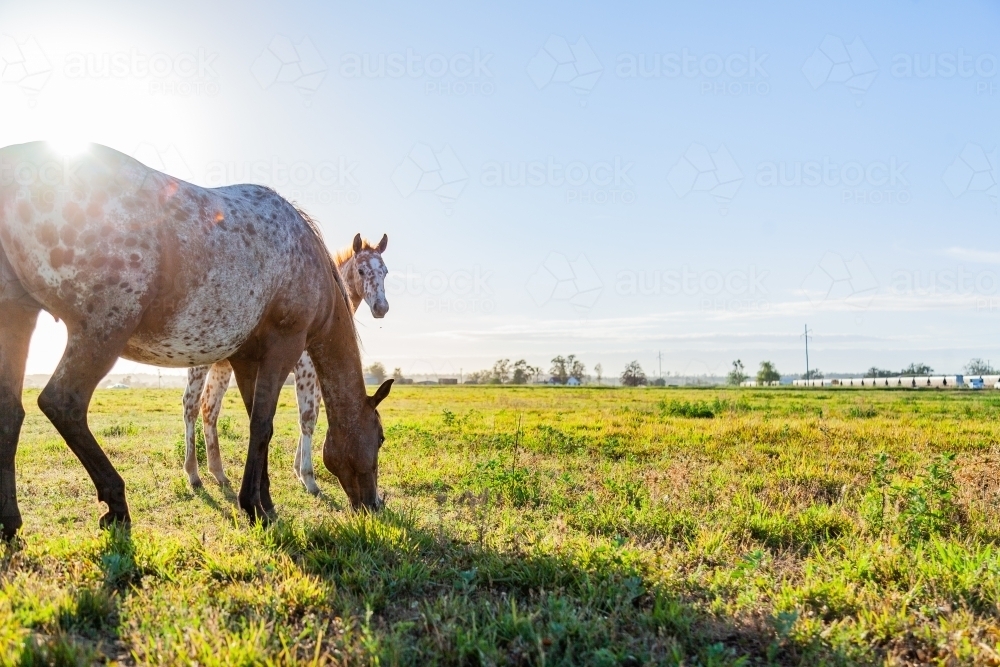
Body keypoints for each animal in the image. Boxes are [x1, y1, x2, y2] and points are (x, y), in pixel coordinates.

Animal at [182, 232, 388, 494]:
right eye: (361, 270)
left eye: (385, 271)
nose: (381, 308)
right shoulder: (305, 370)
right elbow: (307, 417)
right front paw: (309, 478)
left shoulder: (317, 375)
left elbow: (314, 415)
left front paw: (298, 470)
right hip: (199, 364)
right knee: (191, 405)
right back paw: (193, 474)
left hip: (222, 366)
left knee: (210, 408)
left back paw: (219, 473)